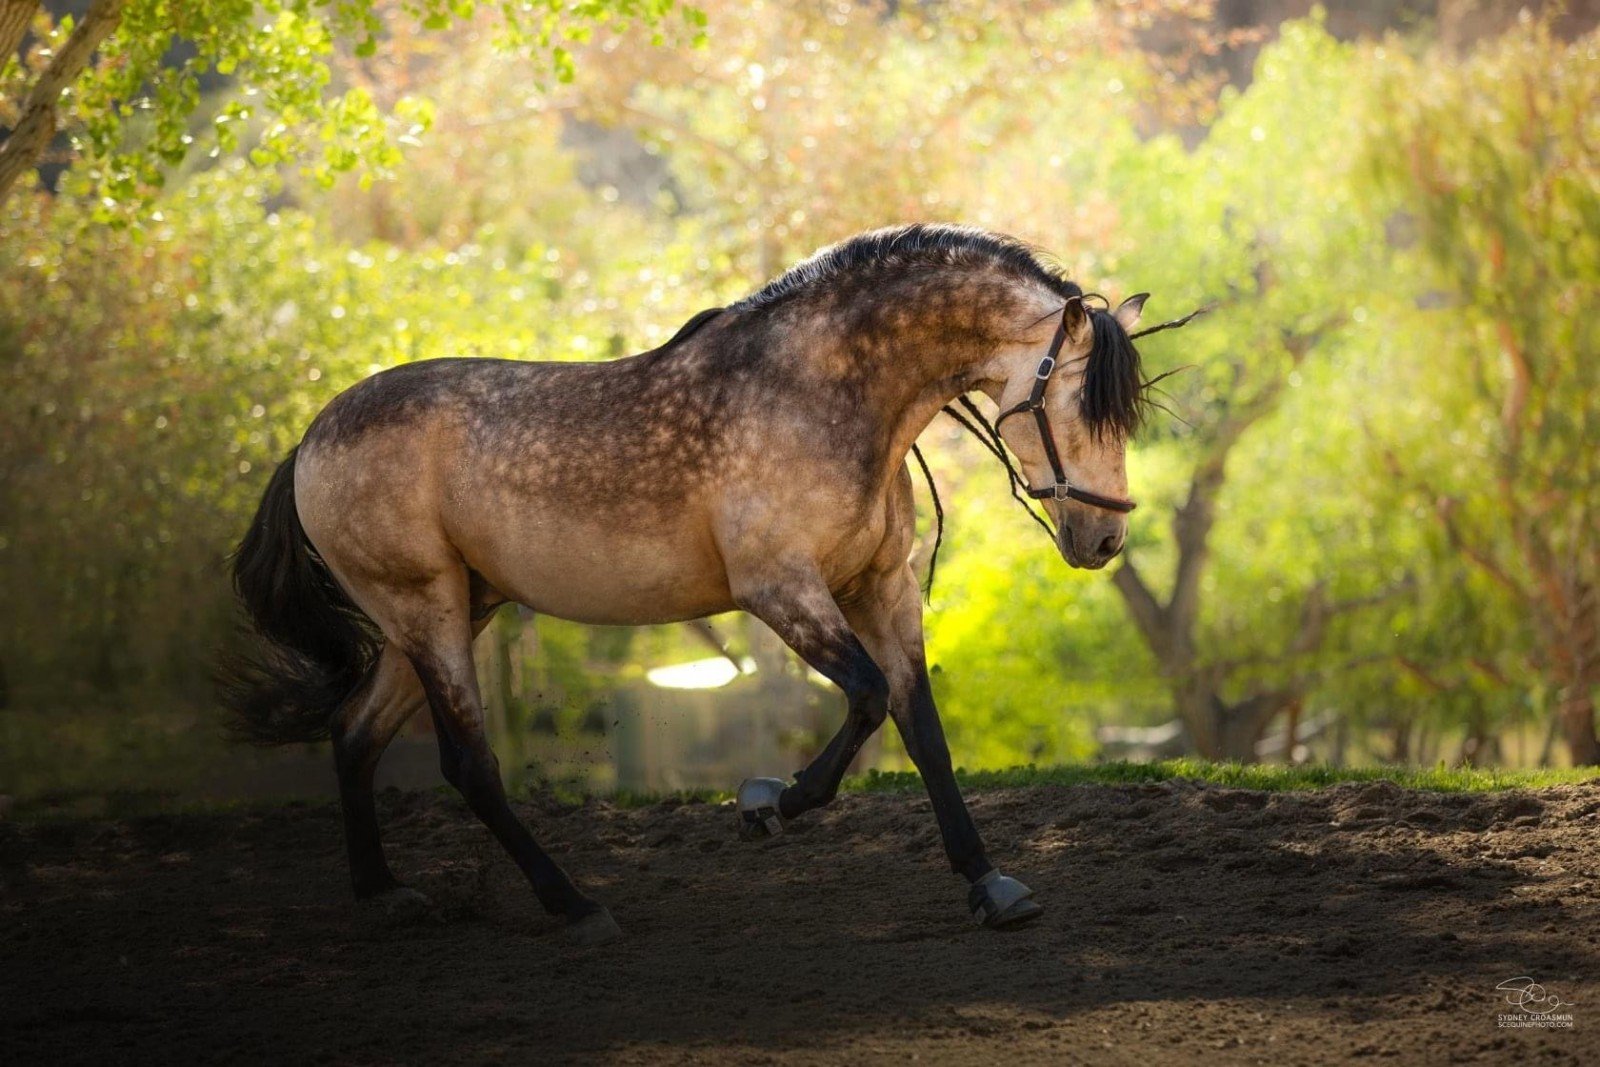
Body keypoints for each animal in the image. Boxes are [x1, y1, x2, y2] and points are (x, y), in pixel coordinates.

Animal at [222, 223, 1152, 940]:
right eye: (1079, 402)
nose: (1105, 537)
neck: (823, 393)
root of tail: (310, 438)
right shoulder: (780, 589)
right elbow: (866, 698)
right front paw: (766, 801)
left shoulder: (880, 588)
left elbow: (921, 728)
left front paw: (991, 884)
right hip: (428, 610)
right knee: (468, 763)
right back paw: (575, 906)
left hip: (447, 610)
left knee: (354, 733)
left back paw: (385, 894)